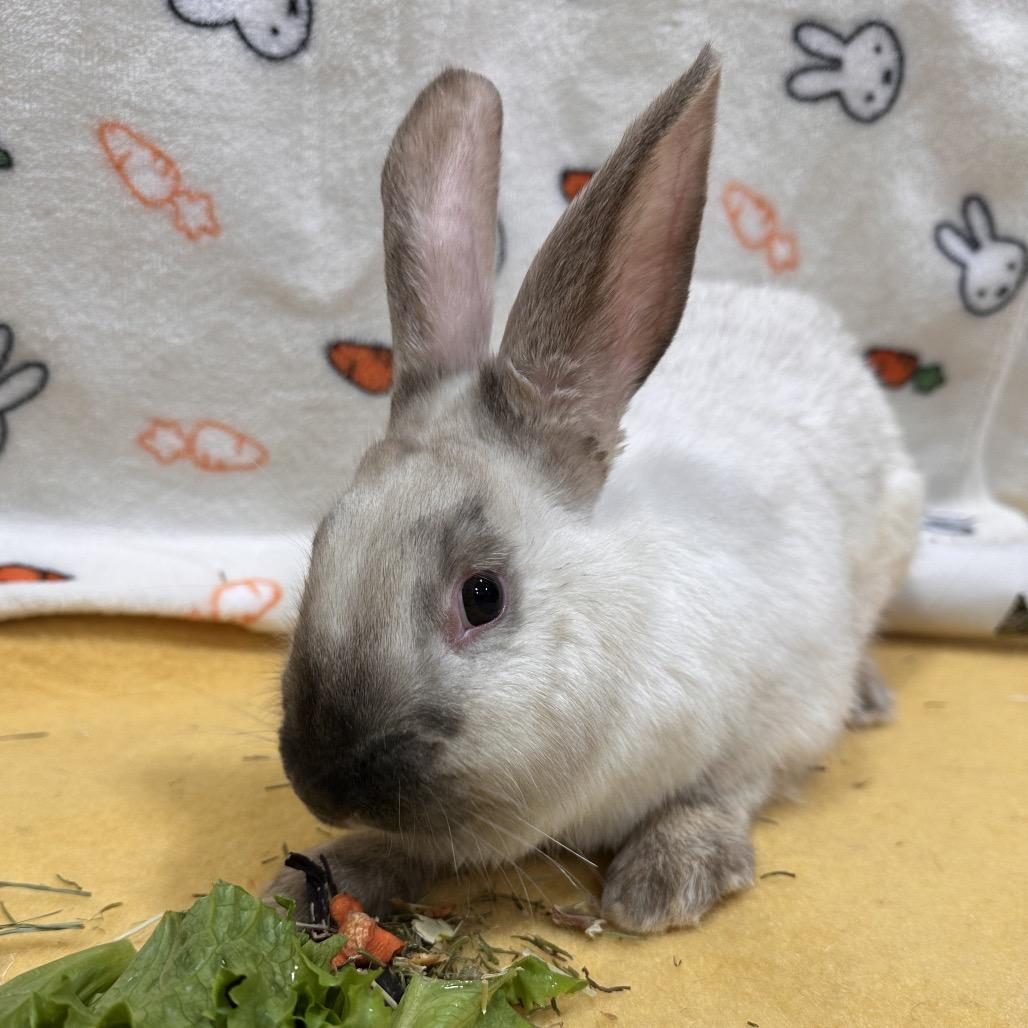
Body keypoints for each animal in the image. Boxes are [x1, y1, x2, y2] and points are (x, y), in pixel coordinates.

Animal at [264, 45, 924, 933]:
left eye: (482, 596)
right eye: (321, 543)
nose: (322, 780)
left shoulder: (780, 712)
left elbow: (725, 791)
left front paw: (666, 880)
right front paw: (330, 872)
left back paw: (871, 698)